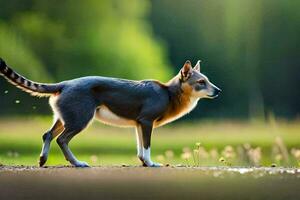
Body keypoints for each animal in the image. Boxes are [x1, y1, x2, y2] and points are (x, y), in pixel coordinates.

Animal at [0, 58, 220, 167]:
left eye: (208, 80)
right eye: (201, 82)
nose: (218, 91)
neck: (169, 93)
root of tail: (65, 83)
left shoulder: (138, 123)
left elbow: (140, 146)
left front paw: (143, 163)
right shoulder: (147, 121)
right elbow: (147, 146)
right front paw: (151, 163)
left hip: (64, 118)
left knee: (47, 135)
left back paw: (42, 160)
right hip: (80, 119)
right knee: (62, 140)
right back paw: (77, 163)